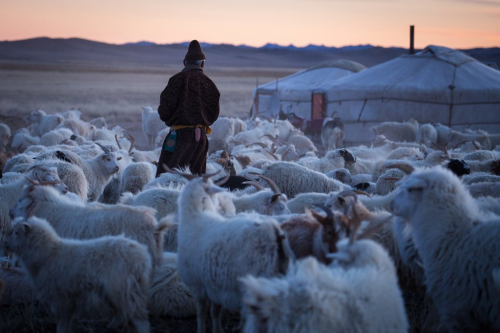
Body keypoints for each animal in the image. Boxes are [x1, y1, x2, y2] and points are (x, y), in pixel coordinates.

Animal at [5, 215, 150, 332]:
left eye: (17, 233)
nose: (5, 244)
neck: (48, 254)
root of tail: (142, 256)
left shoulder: (61, 298)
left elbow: (62, 324)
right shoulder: (69, 301)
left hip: (124, 292)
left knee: (141, 321)